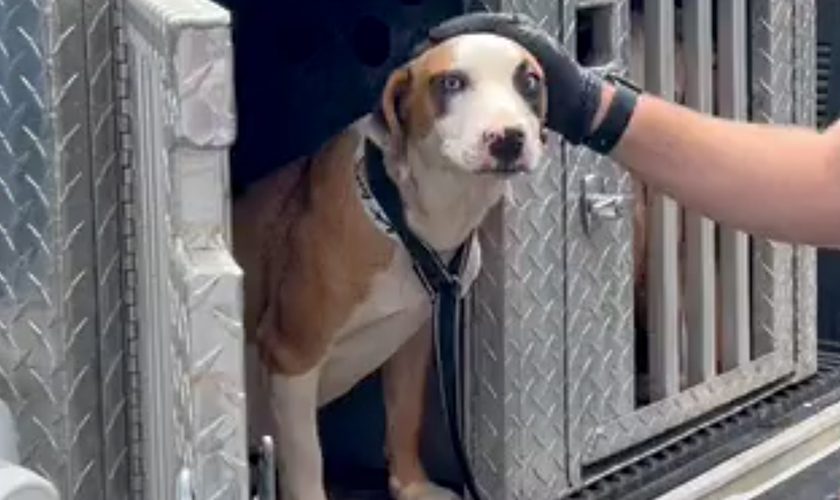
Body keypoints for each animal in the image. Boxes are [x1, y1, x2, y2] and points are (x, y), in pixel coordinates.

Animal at [235, 34, 552, 500]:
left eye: (529, 81)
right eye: (451, 82)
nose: (508, 139)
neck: (408, 221)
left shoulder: (413, 338)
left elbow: (405, 416)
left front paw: (413, 486)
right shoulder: (291, 355)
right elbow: (307, 459)